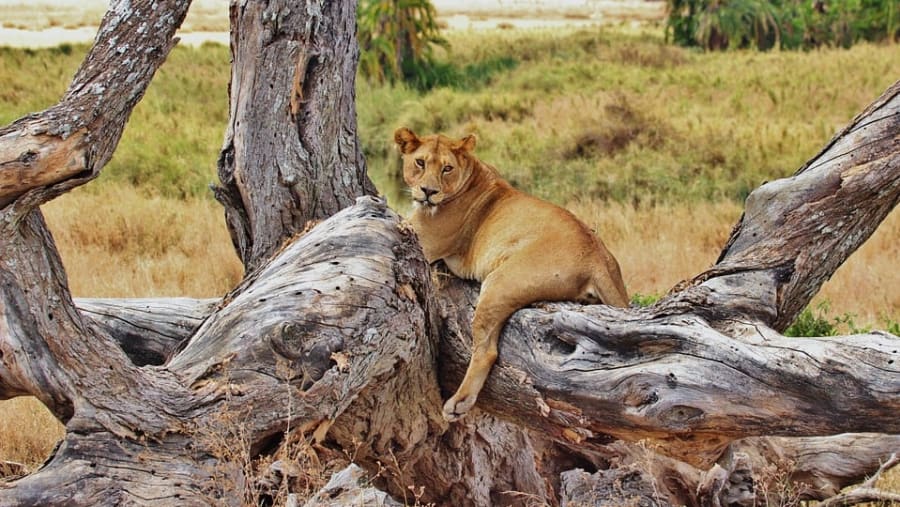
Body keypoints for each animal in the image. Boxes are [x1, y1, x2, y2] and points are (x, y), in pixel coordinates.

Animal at [394, 127, 629, 421]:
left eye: (447, 168)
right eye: (420, 162)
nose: (428, 191)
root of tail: (596, 254)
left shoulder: (422, 239)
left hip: (499, 282)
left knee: (487, 351)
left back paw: (459, 403)